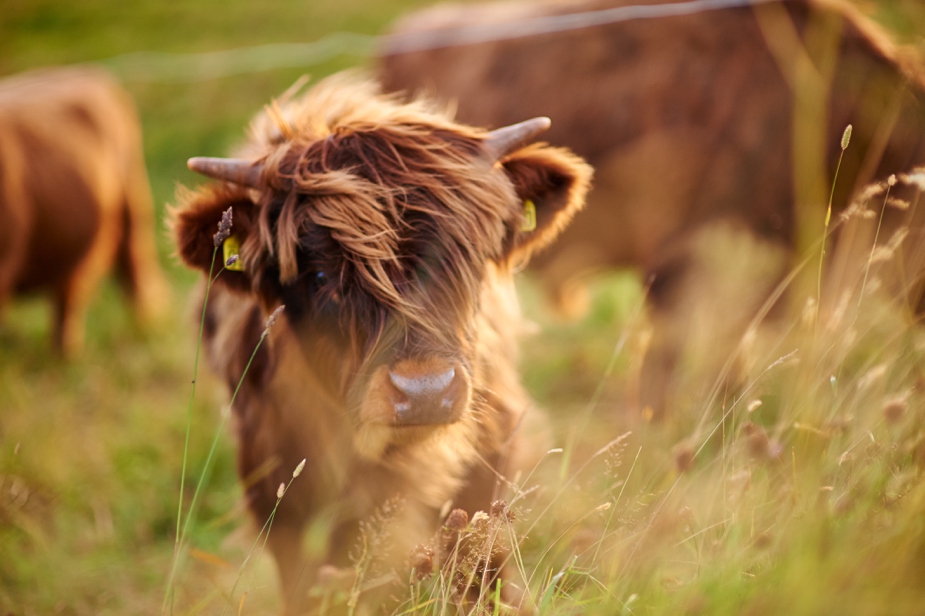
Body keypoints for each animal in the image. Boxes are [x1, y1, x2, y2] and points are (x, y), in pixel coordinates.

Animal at [173, 76, 592, 612]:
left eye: (468, 259)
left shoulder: (487, 473)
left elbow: (481, 573)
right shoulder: (282, 498)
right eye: (320, 275)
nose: (425, 392)